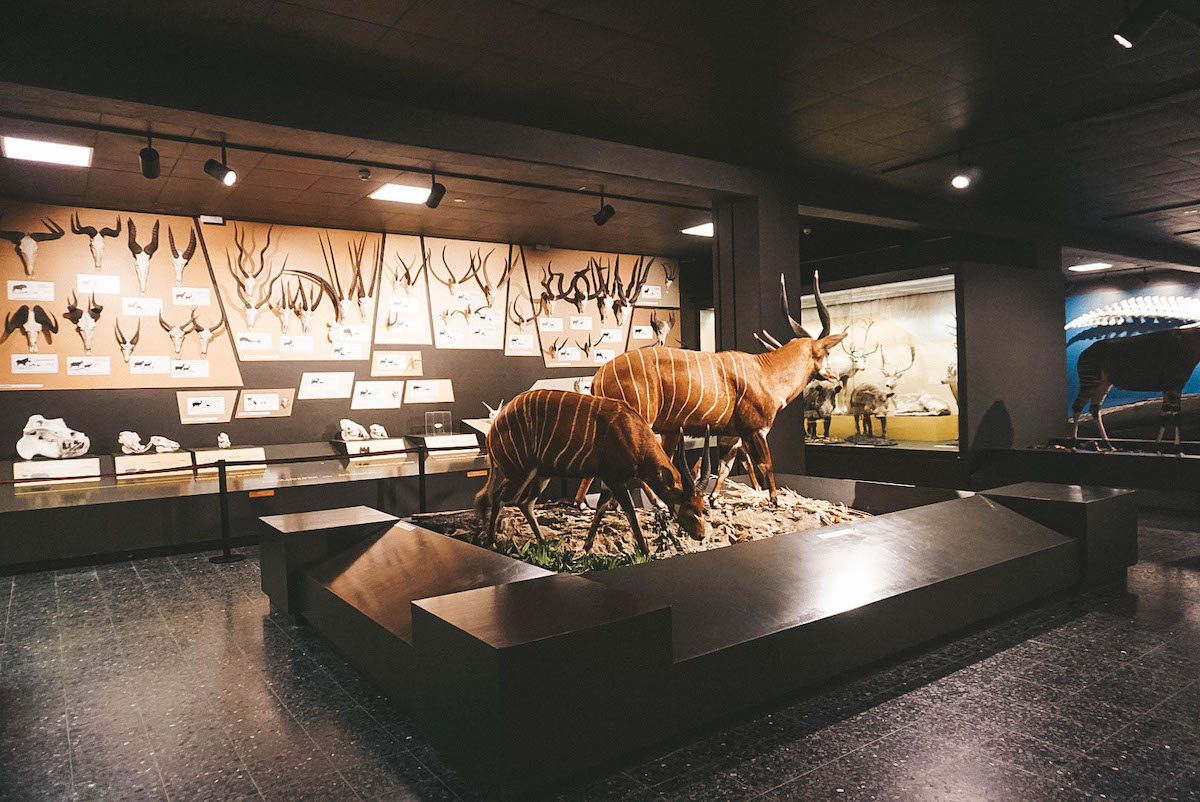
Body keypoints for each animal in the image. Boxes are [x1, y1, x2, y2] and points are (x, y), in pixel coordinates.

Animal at [472, 386, 705, 552]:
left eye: (702, 506)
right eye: (687, 506)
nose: (701, 535)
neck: (634, 434)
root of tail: (492, 431)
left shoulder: (608, 480)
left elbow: (601, 508)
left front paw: (586, 547)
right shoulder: (614, 479)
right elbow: (629, 511)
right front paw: (645, 551)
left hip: (539, 474)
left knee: (523, 502)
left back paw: (544, 543)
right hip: (519, 472)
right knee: (499, 498)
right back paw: (491, 543)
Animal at [580, 272, 844, 504]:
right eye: (827, 352)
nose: (835, 375)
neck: (766, 371)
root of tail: (598, 376)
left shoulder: (731, 435)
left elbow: (725, 467)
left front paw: (714, 499)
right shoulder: (756, 430)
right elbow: (765, 466)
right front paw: (775, 500)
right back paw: (652, 503)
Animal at [1070, 326, 1200, 451]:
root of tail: (1083, 353)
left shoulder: (1169, 387)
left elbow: (1165, 414)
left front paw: (1157, 446)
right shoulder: (1175, 385)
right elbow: (1177, 415)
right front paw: (1177, 449)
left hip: (1103, 383)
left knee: (1094, 409)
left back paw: (1109, 445)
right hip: (1090, 379)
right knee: (1077, 406)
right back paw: (1073, 445)